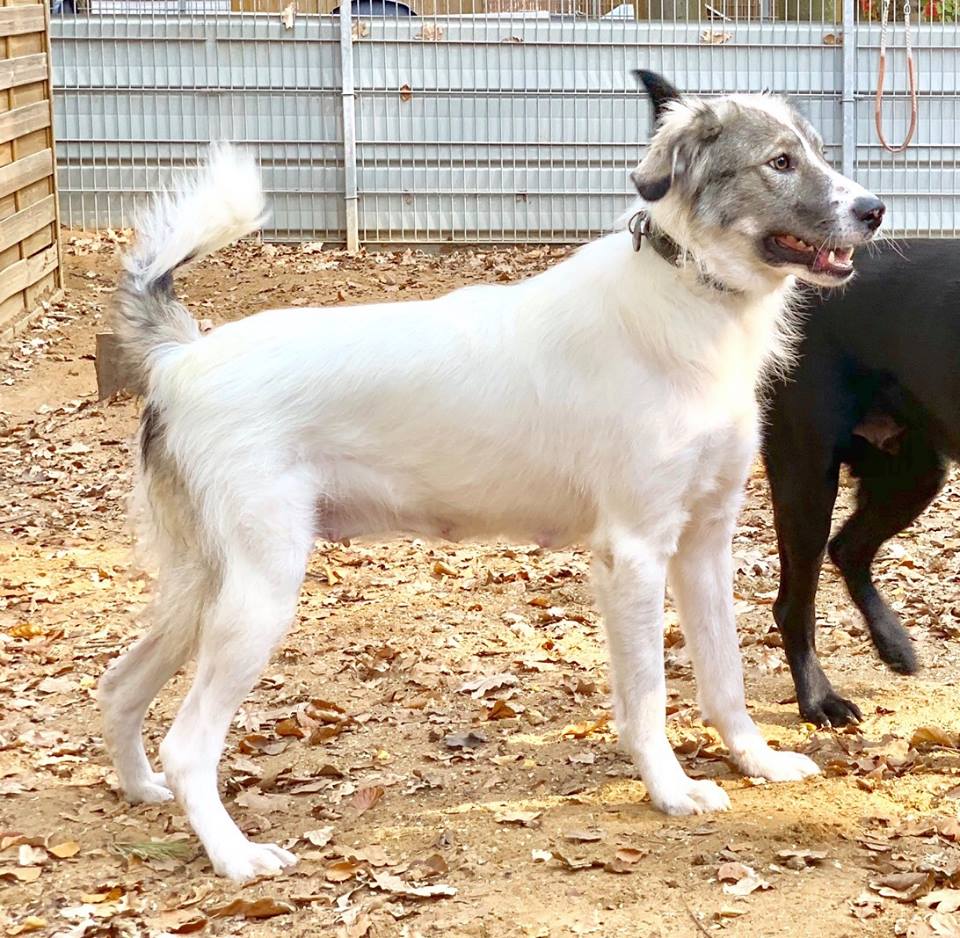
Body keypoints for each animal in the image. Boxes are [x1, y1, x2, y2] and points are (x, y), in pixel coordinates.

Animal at [99, 71, 884, 876]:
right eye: (780, 162)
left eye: (817, 154)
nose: (875, 210)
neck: (687, 298)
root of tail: (183, 357)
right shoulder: (634, 552)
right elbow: (648, 698)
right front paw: (670, 789)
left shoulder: (704, 541)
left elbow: (725, 678)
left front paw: (757, 761)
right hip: (259, 589)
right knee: (188, 742)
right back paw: (234, 856)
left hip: (204, 586)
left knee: (119, 685)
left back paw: (141, 789)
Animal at [760, 239, 956, 724]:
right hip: (807, 477)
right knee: (794, 603)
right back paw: (819, 699)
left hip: (915, 474)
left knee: (848, 549)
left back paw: (894, 645)